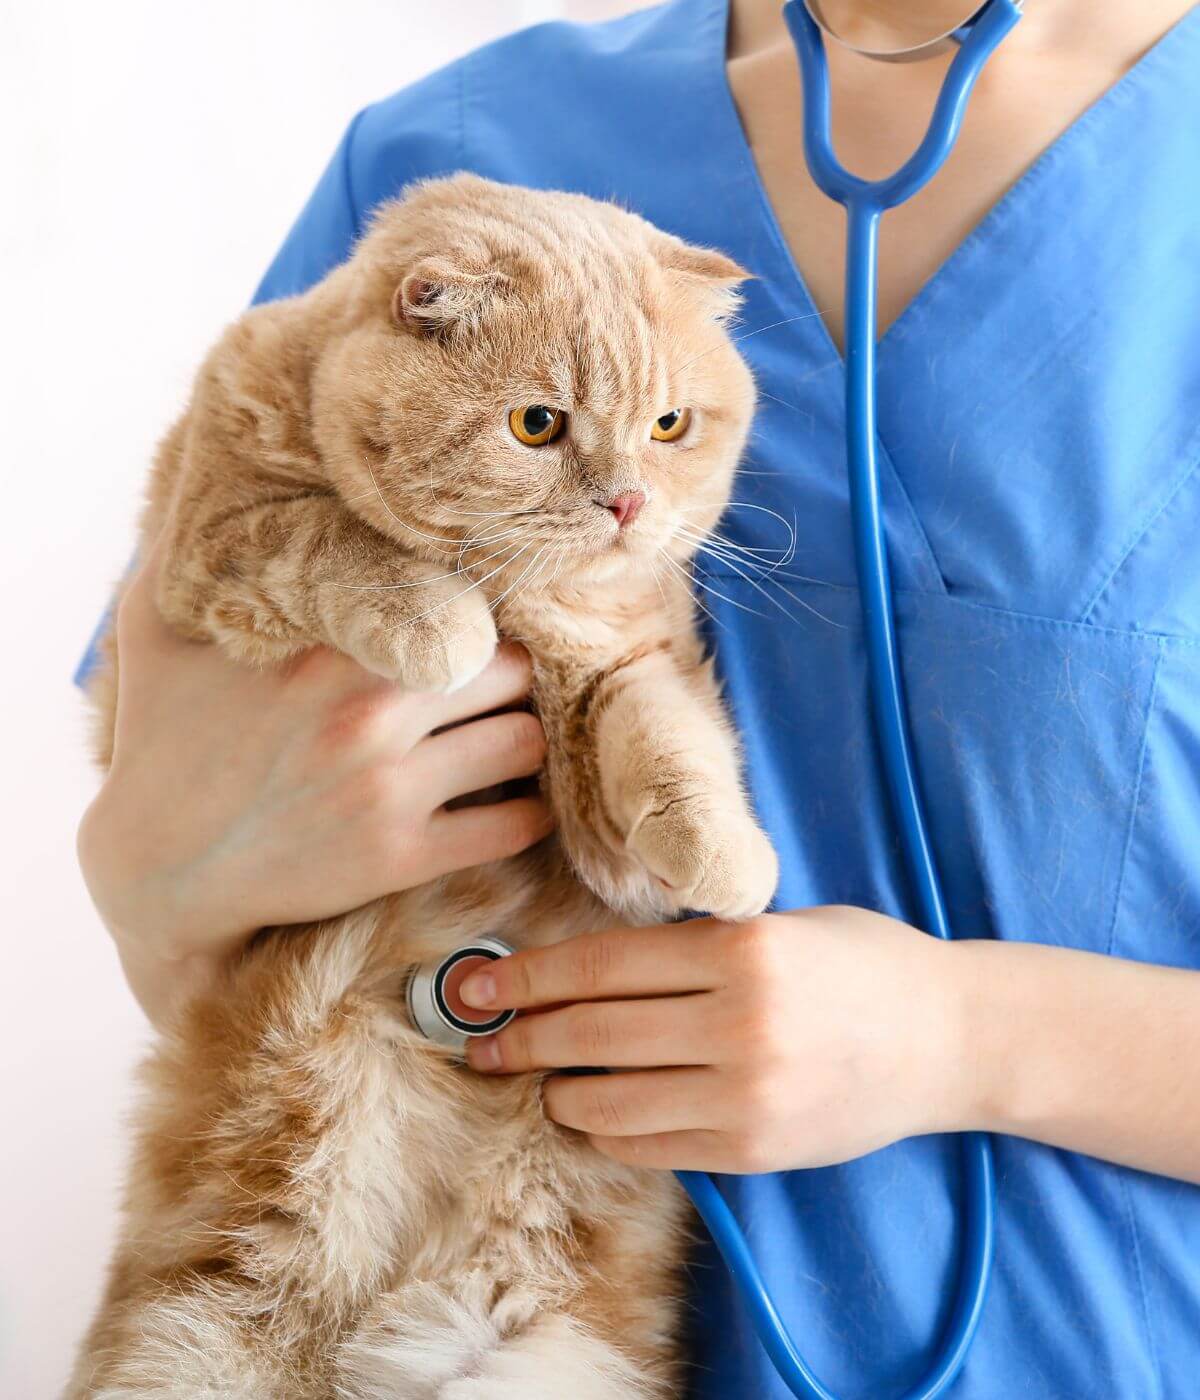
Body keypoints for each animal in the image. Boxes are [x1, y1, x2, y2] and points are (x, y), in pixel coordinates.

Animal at [70, 175, 778, 1400]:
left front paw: (724, 852)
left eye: (670, 425)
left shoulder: (617, 714)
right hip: (190, 1344)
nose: (628, 503)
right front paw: (437, 621)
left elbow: (662, 734)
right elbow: (333, 536)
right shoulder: (213, 544)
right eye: (537, 424)